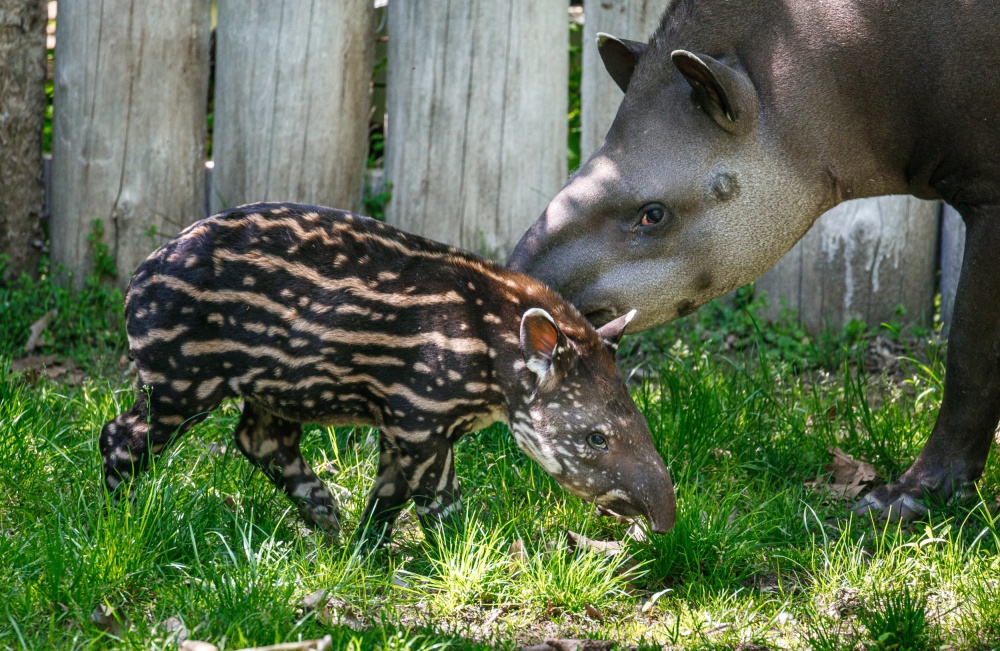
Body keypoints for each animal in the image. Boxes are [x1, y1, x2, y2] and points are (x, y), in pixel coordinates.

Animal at [101, 202, 676, 540]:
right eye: (597, 438)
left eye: (642, 424)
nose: (666, 519)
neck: (493, 348)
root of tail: (141, 271)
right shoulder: (419, 415)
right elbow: (437, 502)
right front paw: (463, 553)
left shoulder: (407, 423)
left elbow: (388, 497)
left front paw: (365, 553)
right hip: (183, 374)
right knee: (125, 432)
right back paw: (119, 515)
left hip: (276, 384)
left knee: (259, 437)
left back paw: (325, 518)